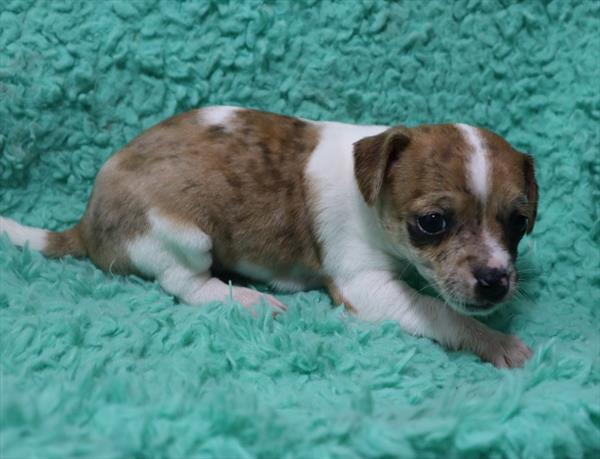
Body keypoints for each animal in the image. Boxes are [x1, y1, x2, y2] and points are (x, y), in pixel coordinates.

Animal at [0, 106, 536, 368]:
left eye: (518, 222)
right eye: (432, 222)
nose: (495, 281)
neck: (369, 191)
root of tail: (86, 224)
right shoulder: (364, 286)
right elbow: (440, 311)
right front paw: (494, 341)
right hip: (182, 235)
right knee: (184, 284)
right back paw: (244, 299)